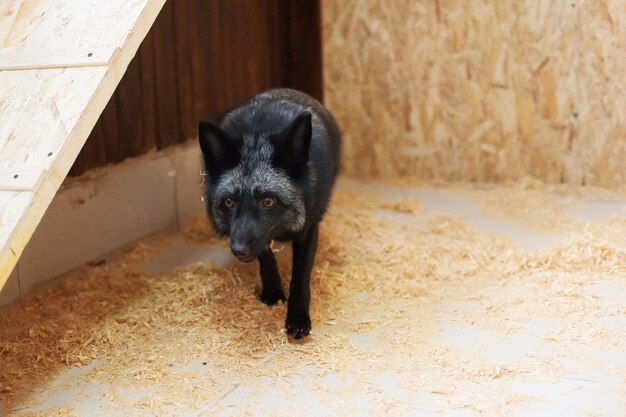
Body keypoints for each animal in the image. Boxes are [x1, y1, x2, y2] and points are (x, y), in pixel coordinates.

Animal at [197, 88, 338, 338]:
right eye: (230, 202)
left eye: (268, 201)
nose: (238, 250)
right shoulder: (257, 239)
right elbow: (266, 257)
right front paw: (272, 292)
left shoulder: (308, 227)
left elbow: (300, 276)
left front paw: (297, 318)